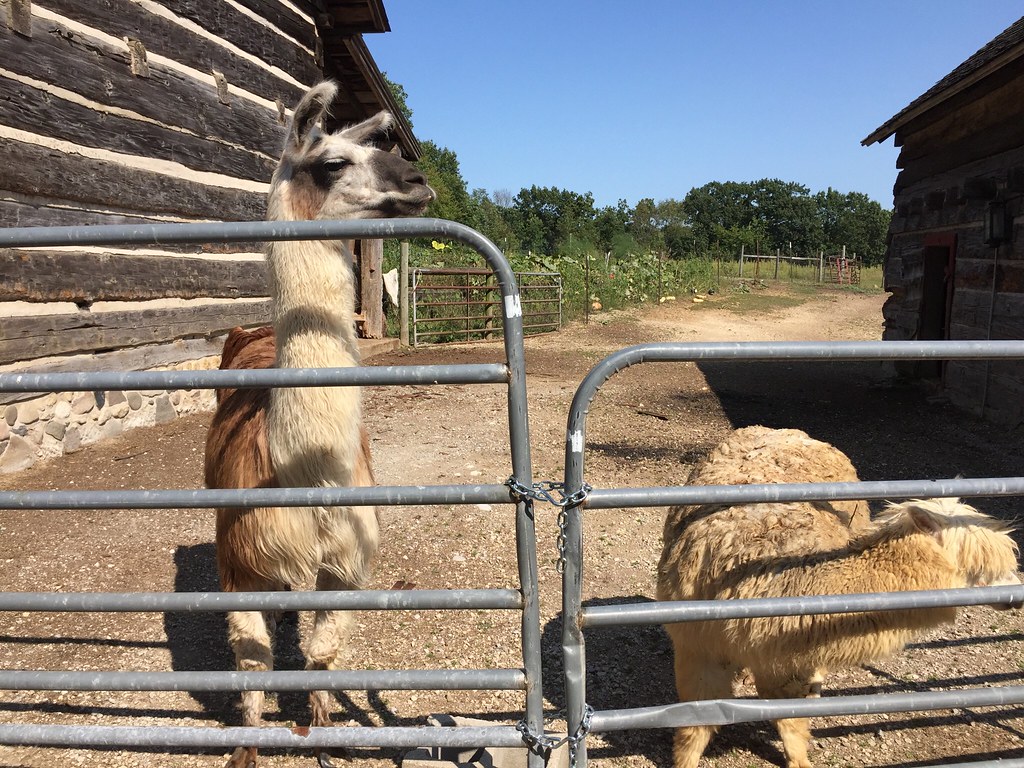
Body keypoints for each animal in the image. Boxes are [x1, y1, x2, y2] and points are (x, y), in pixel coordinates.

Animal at [204, 81, 434, 768]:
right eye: (332, 162)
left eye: (380, 150)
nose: (418, 179)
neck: (302, 469)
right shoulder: (239, 563)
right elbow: (252, 665)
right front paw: (247, 750)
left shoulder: (346, 565)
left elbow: (322, 657)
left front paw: (325, 735)